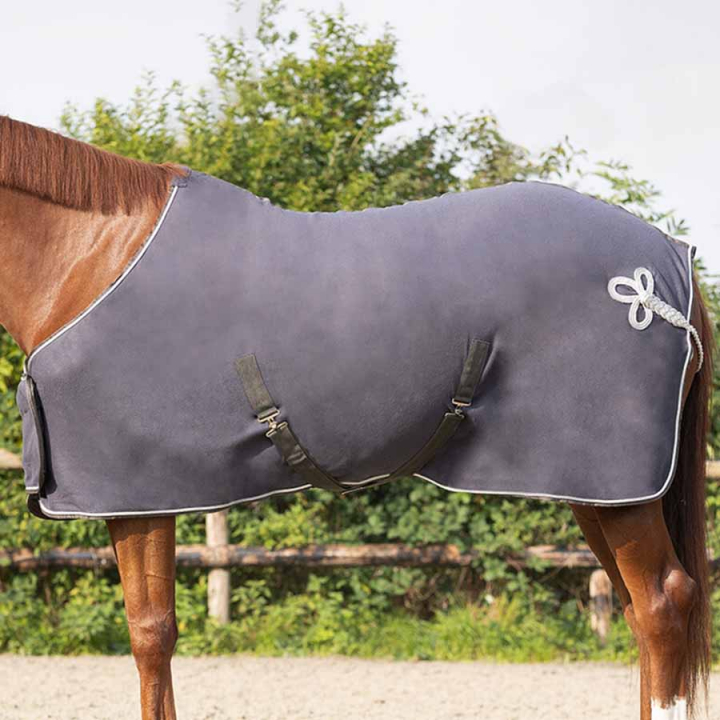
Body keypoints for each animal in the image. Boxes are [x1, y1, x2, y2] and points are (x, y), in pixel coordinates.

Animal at [0, 115, 713, 720]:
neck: (90, 262)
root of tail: (670, 259)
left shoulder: (136, 496)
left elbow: (150, 636)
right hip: (594, 490)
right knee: (639, 613)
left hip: (617, 486)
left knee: (661, 606)